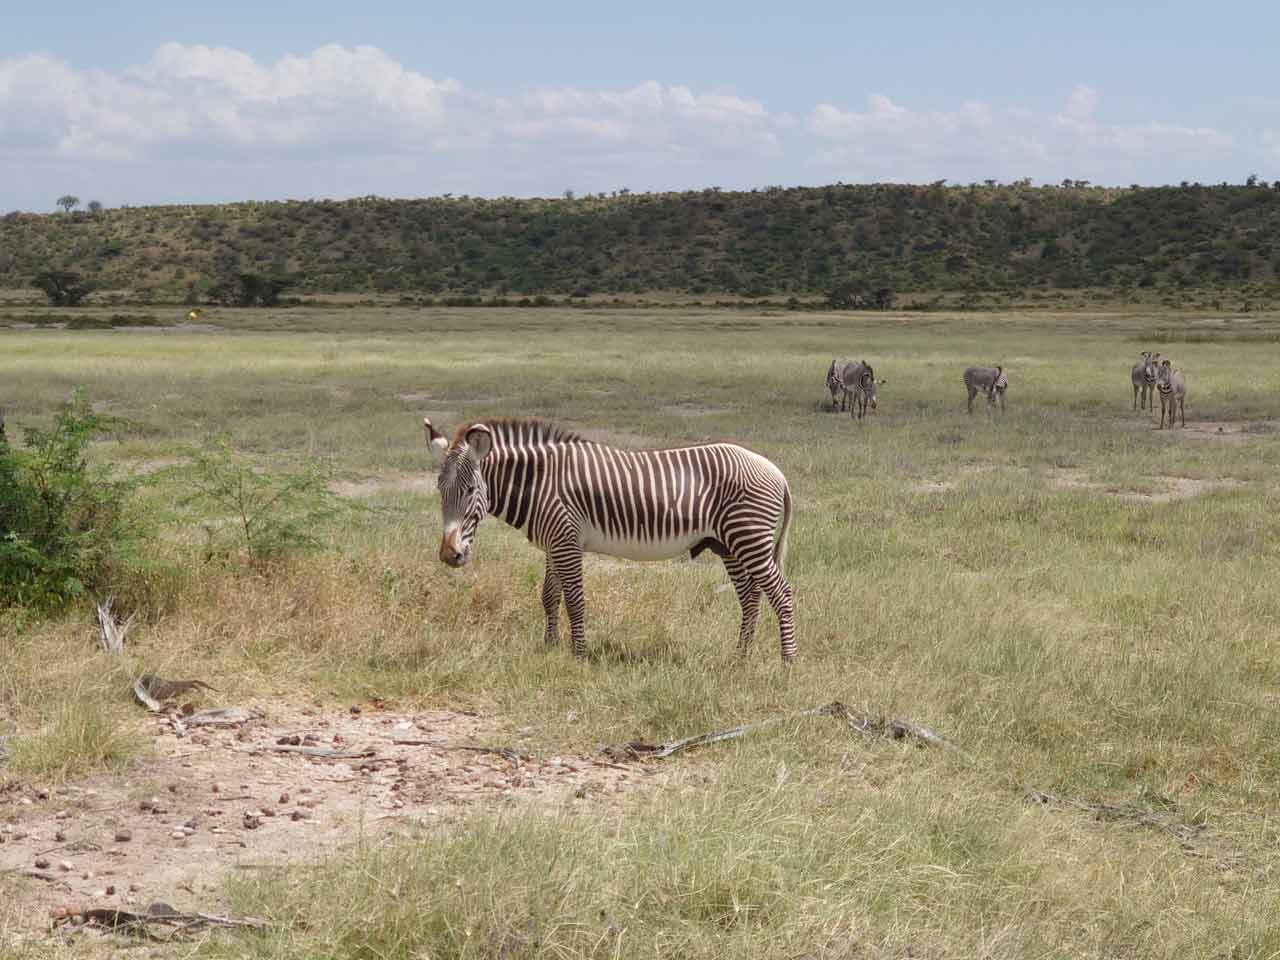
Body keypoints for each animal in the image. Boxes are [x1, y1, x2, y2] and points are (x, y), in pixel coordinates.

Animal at [427, 417, 797, 663]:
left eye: (471, 491)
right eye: (440, 491)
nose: (449, 555)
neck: (540, 482)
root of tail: (776, 471)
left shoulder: (566, 540)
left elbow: (575, 600)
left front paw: (579, 655)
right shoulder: (554, 543)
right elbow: (549, 596)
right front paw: (550, 646)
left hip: (749, 537)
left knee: (781, 594)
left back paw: (787, 661)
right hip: (729, 544)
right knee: (750, 597)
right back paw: (742, 655)